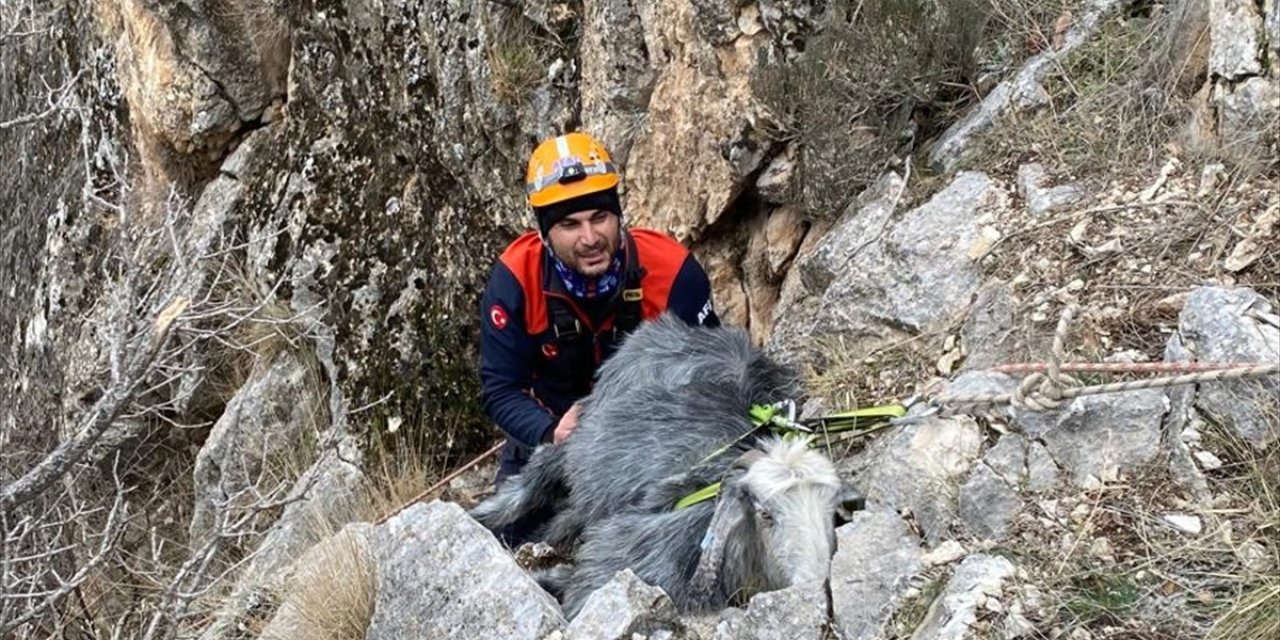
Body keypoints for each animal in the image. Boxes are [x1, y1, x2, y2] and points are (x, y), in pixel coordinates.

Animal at [465, 317, 855, 616]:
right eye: (765, 513)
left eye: (831, 511)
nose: (815, 583)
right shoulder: (622, 558)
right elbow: (577, 587)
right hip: (579, 441)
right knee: (537, 474)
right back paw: (482, 517)